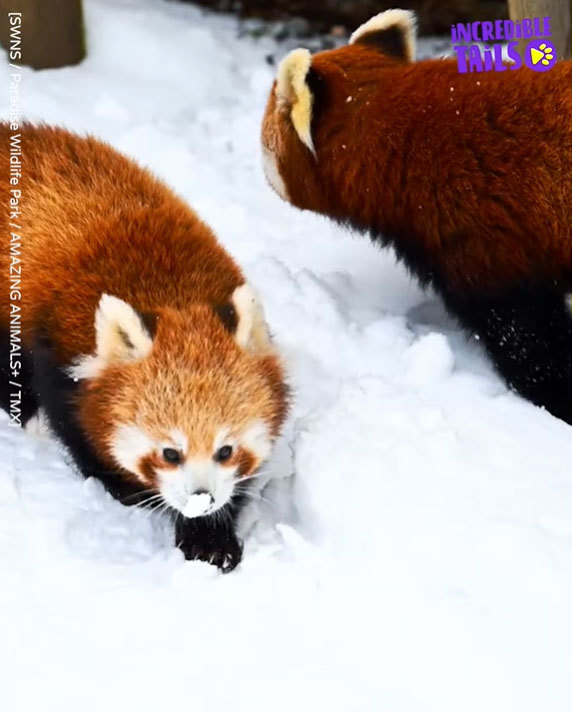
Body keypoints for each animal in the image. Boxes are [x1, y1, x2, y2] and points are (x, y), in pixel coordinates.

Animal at [0, 121, 286, 568]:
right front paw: (124, 488)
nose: (201, 498)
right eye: (170, 453)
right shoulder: (56, 349)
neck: (170, 291)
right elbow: (77, 428)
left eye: (225, 450)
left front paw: (210, 536)